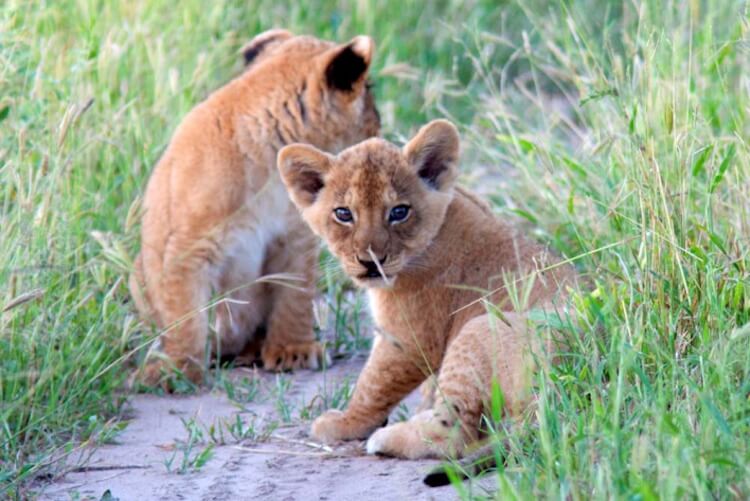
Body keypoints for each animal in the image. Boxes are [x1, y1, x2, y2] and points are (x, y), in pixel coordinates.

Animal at [129, 29, 380, 388]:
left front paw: (293, 350)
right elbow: (185, 315)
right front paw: (177, 369)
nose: (380, 126)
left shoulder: (294, 237)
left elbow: (294, 294)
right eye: (369, 89)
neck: (270, 161)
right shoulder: (187, 247)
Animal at [278, 119, 577, 460]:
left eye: (399, 212)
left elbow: (373, 384)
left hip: (478, 328)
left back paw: (385, 438)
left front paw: (346, 422)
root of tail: (559, 395)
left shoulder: (407, 339)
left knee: (455, 434)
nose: (370, 262)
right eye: (343, 214)